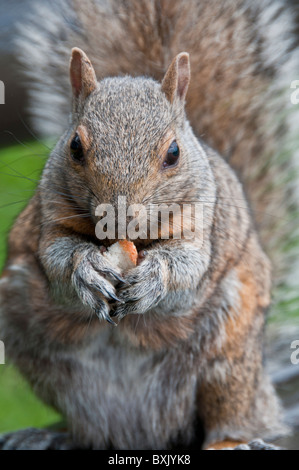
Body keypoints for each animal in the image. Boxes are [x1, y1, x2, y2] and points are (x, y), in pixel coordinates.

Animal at [0, 0, 298, 448]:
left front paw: (154, 278)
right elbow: (57, 260)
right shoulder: (47, 220)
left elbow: (187, 269)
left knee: (232, 410)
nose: (119, 217)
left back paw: (236, 439)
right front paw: (87, 269)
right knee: (90, 430)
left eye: (173, 153)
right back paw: (53, 436)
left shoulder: (203, 228)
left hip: (230, 360)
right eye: (74, 146)